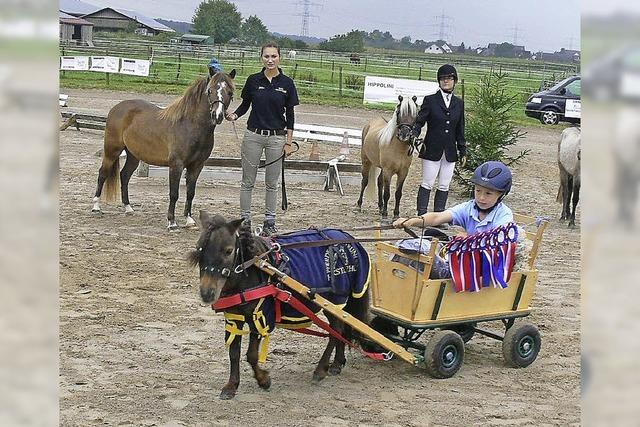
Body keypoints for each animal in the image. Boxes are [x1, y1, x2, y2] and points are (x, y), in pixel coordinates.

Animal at [91, 70, 236, 231]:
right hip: (112, 150)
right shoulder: (176, 165)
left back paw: (128, 208)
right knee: (102, 174)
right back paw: (96, 207)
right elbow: (174, 193)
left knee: (124, 175)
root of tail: (117, 108)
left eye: (230, 92)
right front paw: (172, 222)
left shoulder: (197, 166)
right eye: (210, 90)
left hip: (133, 155)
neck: (190, 126)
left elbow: (190, 193)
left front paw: (189, 220)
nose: (217, 116)